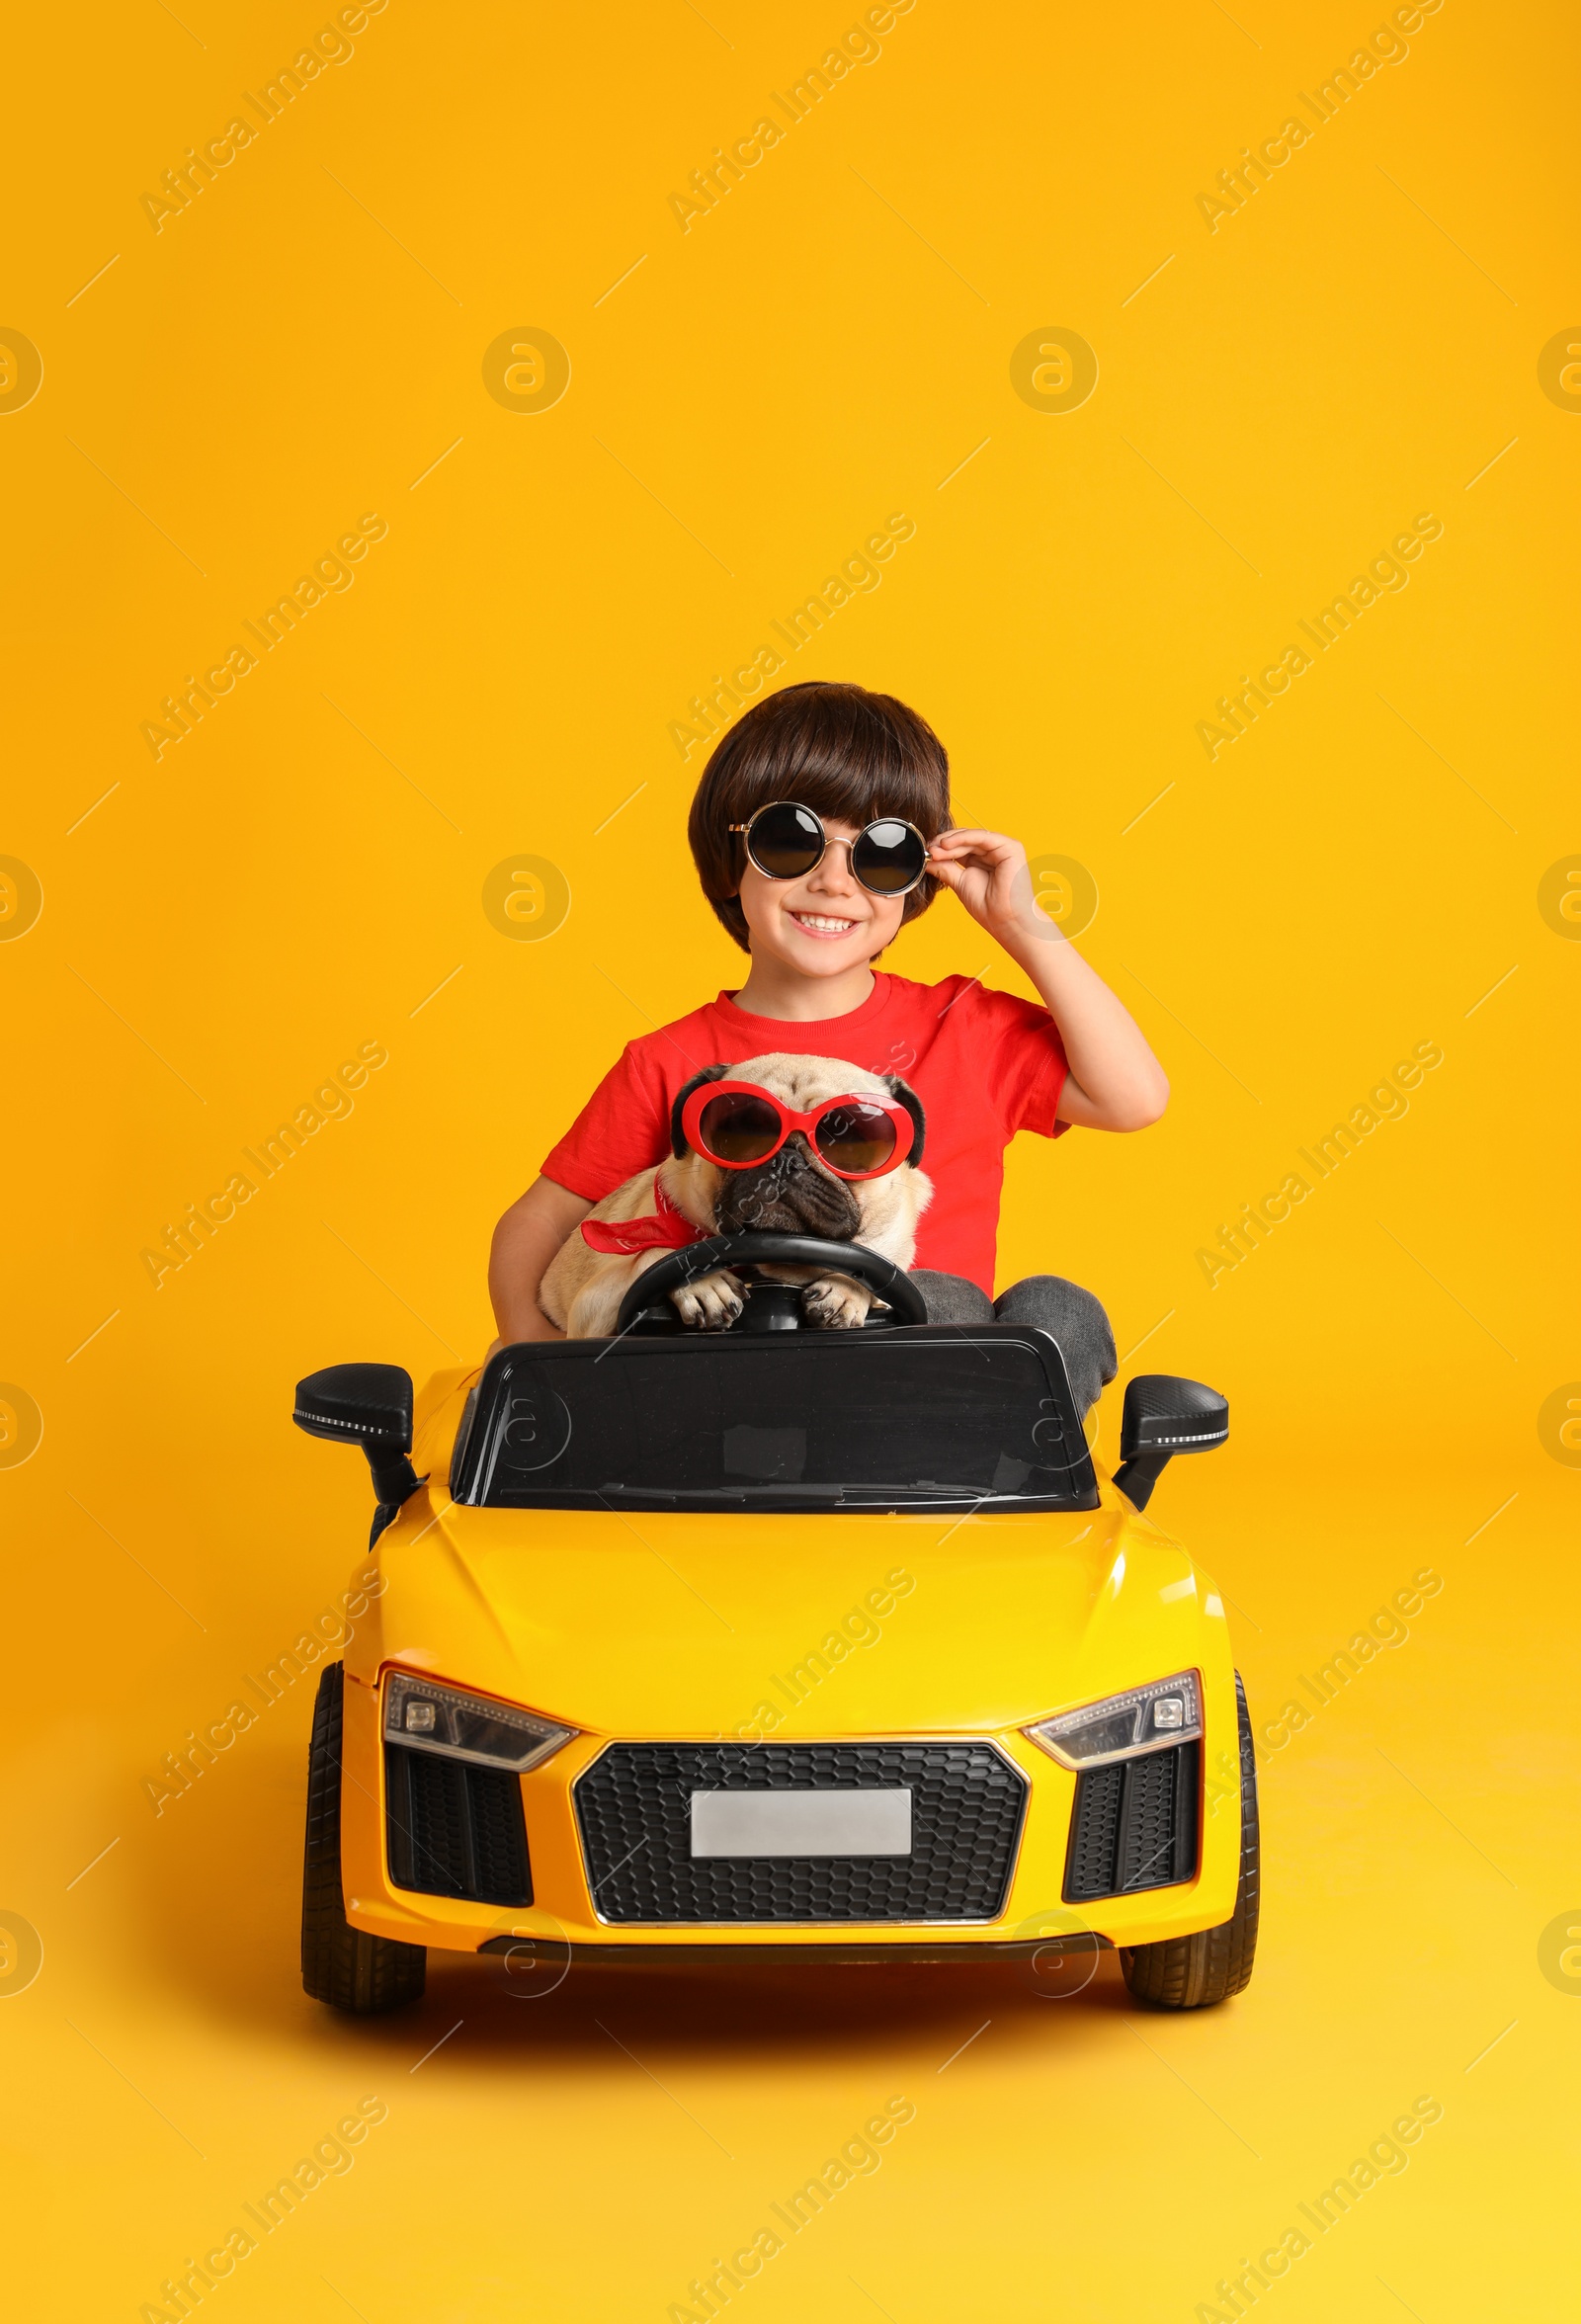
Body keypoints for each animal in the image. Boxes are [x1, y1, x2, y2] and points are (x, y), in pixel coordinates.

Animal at [539, 1054, 925, 1348]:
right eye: (739, 1135)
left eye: (849, 1142)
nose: (785, 1161)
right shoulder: (591, 1309)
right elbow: (657, 1249)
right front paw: (703, 1281)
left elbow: (876, 1269)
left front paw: (848, 1290)